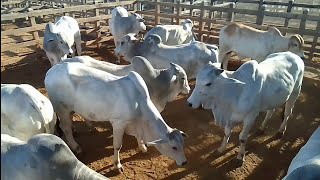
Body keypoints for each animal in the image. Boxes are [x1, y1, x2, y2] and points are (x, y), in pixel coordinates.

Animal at [44, 62, 189, 171]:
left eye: (182, 144)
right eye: (174, 147)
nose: (184, 162)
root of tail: (50, 71)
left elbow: (139, 137)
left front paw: (142, 147)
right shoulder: (119, 123)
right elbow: (117, 146)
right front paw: (117, 165)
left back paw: (90, 126)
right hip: (62, 108)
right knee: (65, 127)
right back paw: (76, 146)